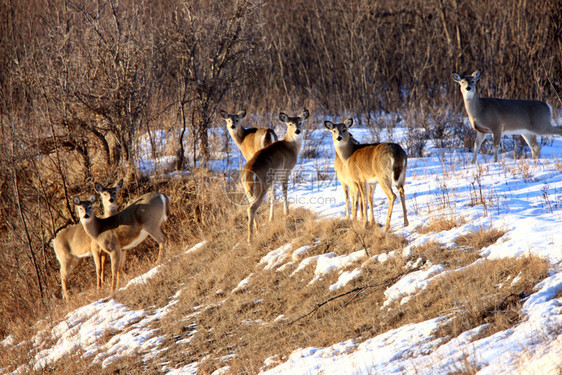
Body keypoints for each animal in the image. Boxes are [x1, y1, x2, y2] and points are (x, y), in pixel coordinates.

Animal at [241, 108, 308, 244]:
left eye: (300, 122)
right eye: (290, 124)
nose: (297, 131)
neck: (291, 146)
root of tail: (246, 174)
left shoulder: (273, 180)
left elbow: (273, 197)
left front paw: (271, 219)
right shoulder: (285, 171)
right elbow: (284, 191)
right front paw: (286, 212)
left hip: (249, 190)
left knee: (251, 206)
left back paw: (257, 230)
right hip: (261, 187)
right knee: (251, 208)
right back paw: (250, 239)